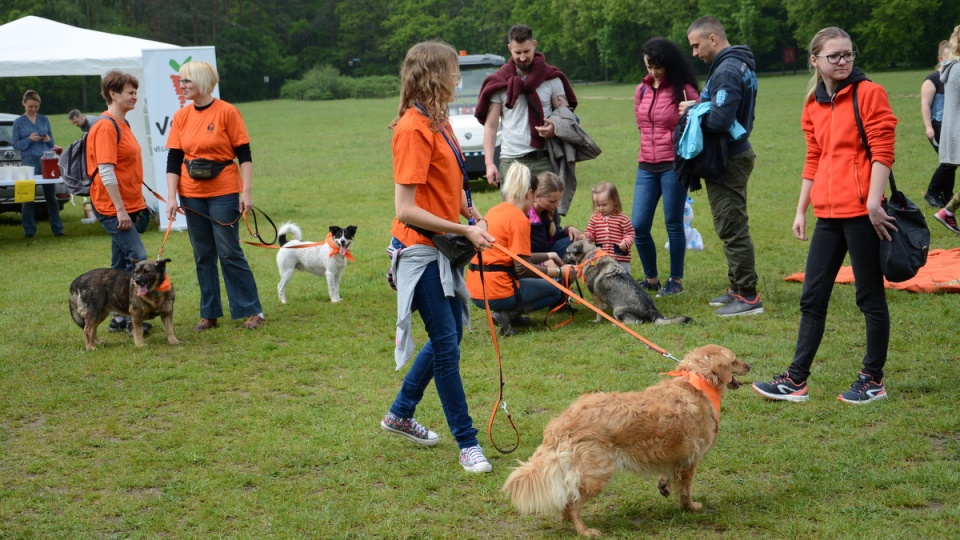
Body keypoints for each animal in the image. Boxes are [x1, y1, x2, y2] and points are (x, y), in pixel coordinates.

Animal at [502, 344, 752, 536]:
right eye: (734, 360)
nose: (749, 365)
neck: (696, 382)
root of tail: (560, 424)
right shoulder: (690, 460)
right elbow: (685, 490)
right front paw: (690, 507)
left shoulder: (675, 457)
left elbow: (669, 476)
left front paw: (664, 485)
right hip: (597, 475)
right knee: (572, 504)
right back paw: (585, 531)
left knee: (566, 501)